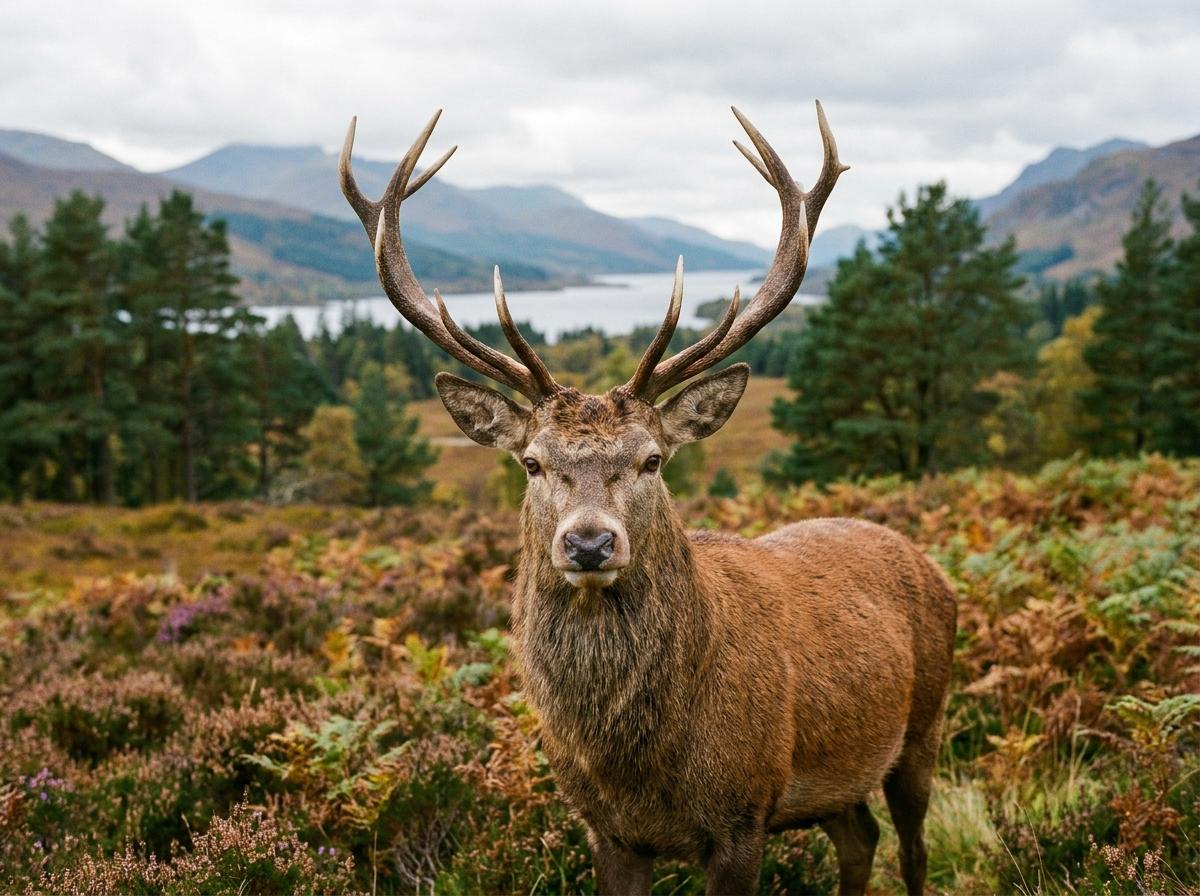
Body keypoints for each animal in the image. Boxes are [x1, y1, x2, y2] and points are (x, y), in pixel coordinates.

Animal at [338, 102, 957, 896]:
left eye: (653, 459)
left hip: (925, 723)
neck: (637, 765)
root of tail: (929, 563)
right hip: (834, 782)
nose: (589, 543)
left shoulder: (744, 813)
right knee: (861, 837)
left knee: (911, 845)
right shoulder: (606, 830)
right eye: (532, 463)